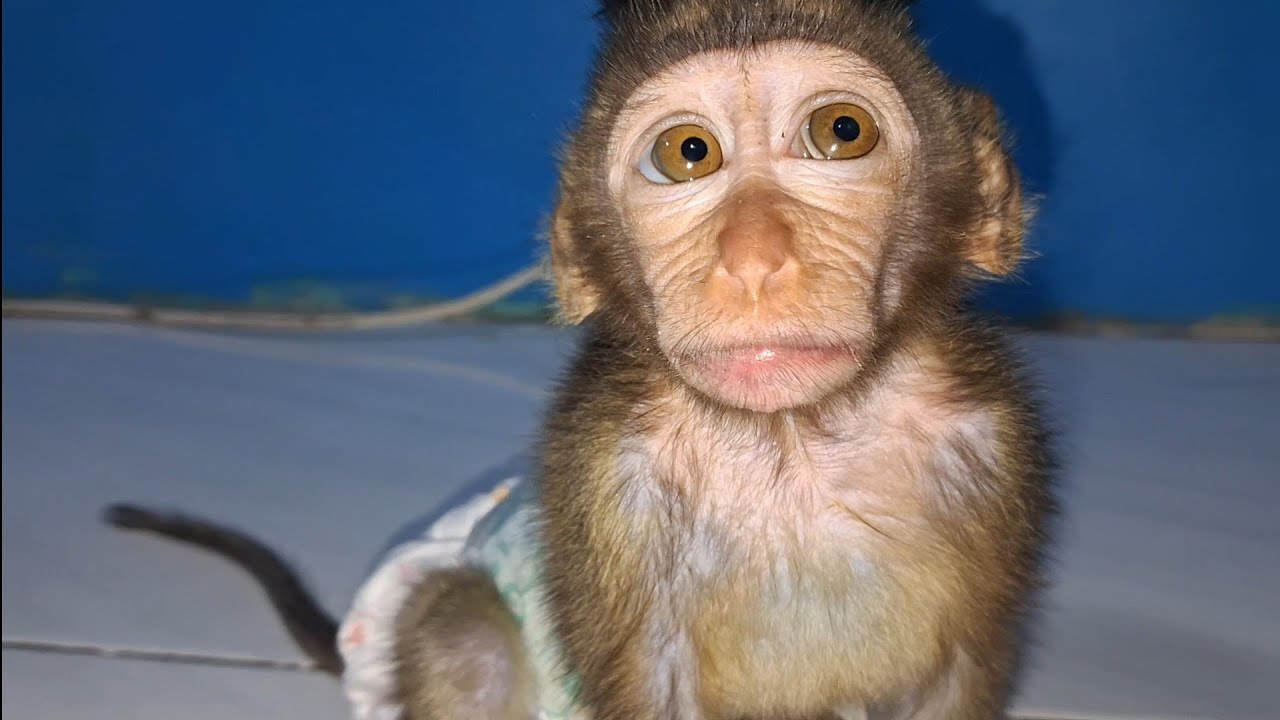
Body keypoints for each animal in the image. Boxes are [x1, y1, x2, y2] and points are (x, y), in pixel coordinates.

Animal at [106, 1, 1056, 718]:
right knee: (460, 631)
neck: (793, 440)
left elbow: (960, 675)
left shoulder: (993, 437)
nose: (753, 261)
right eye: (688, 153)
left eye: (842, 130)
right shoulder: (604, 472)